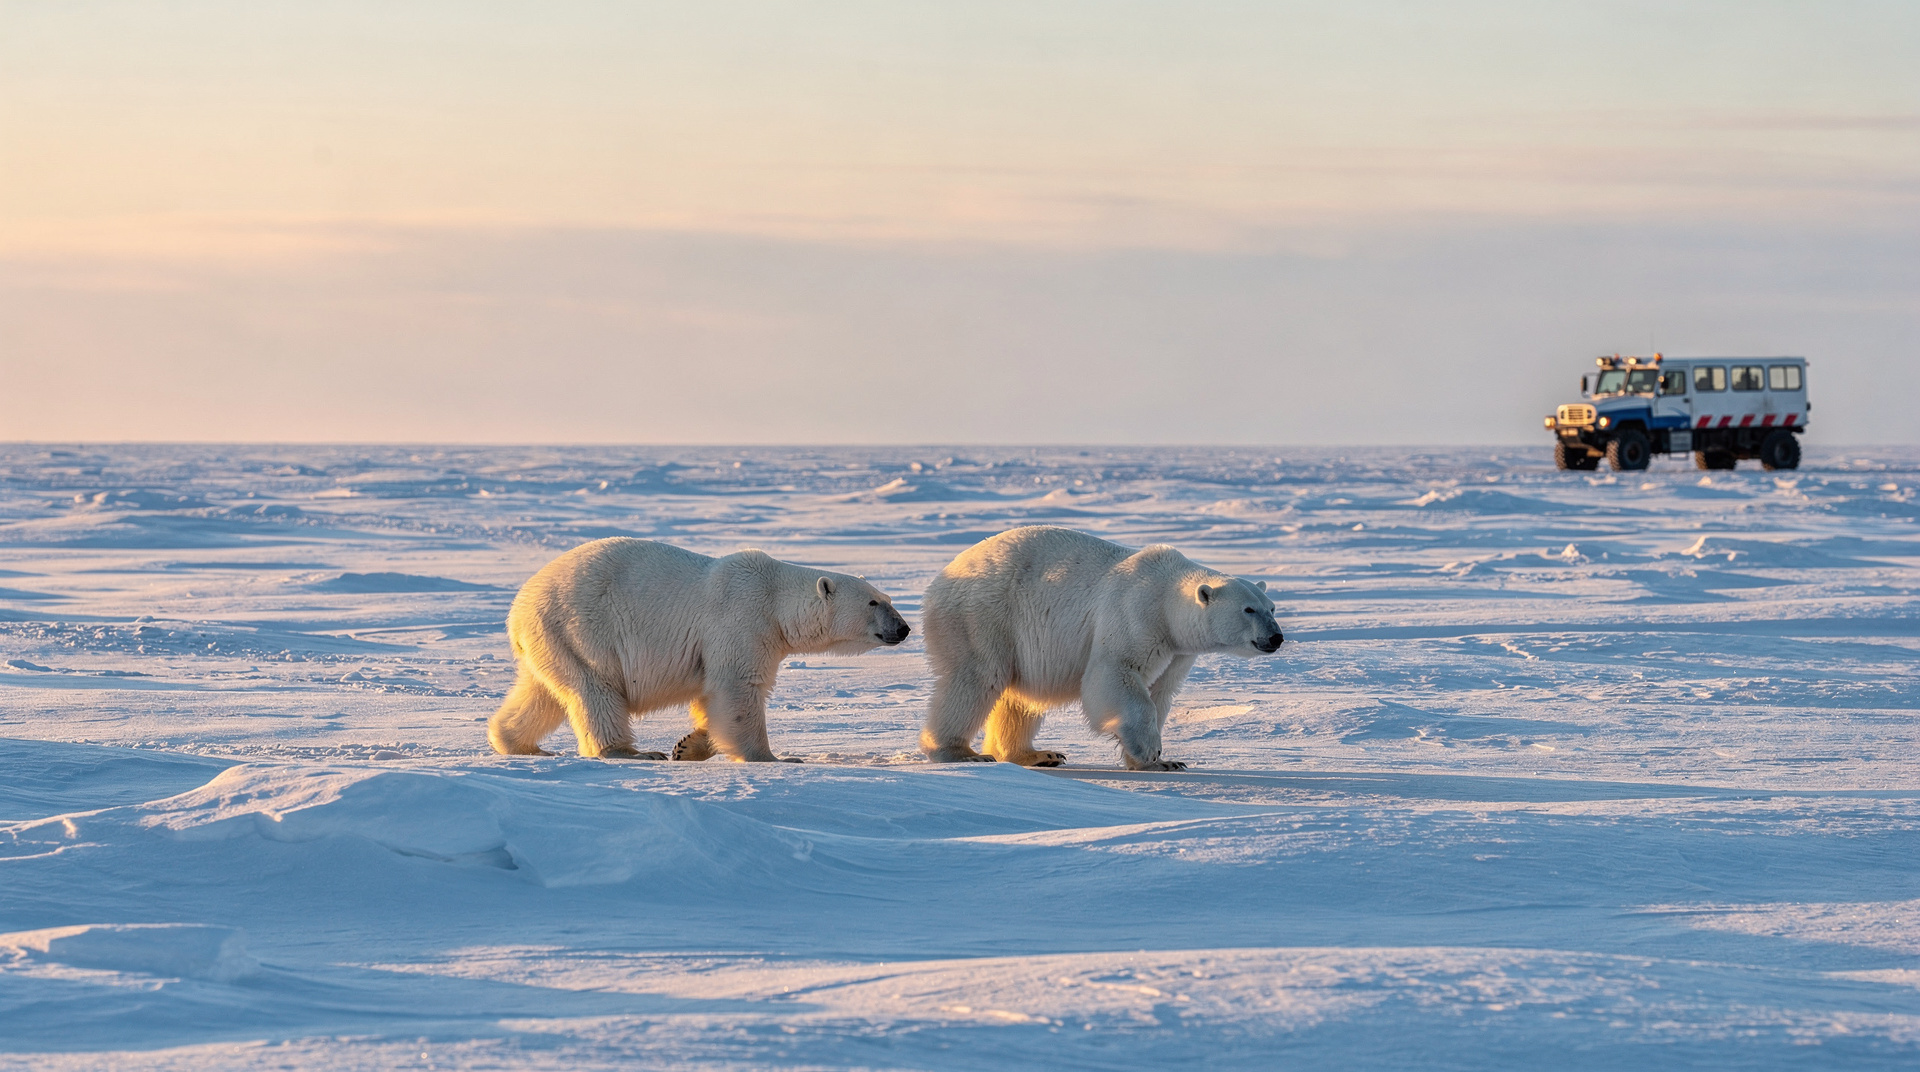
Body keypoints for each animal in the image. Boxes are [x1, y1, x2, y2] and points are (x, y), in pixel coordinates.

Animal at [488, 537, 911, 761]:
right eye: (873, 602)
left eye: (888, 598)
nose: (904, 628)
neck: (774, 598)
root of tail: (518, 608)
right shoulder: (741, 621)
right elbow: (738, 691)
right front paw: (775, 757)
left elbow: (713, 698)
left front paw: (687, 746)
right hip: (583, 631)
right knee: (596, 692)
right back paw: (630, 752)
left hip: (550, 642)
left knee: (541, 693)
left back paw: (520, 744)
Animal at [918, 525, 1283, 771]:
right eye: (1248, 609)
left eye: (1272, 607)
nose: (1276, 637)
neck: (1166, 598)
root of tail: (940, 579)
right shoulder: (1134, 614)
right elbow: (1116, 675)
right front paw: (1151, 752)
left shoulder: (1177, 651)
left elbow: (1161, 692)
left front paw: (1161, 763)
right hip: (983, 615)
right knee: (977, 678)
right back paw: (961, 752)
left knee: (1016, 699)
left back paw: (1038, 754)